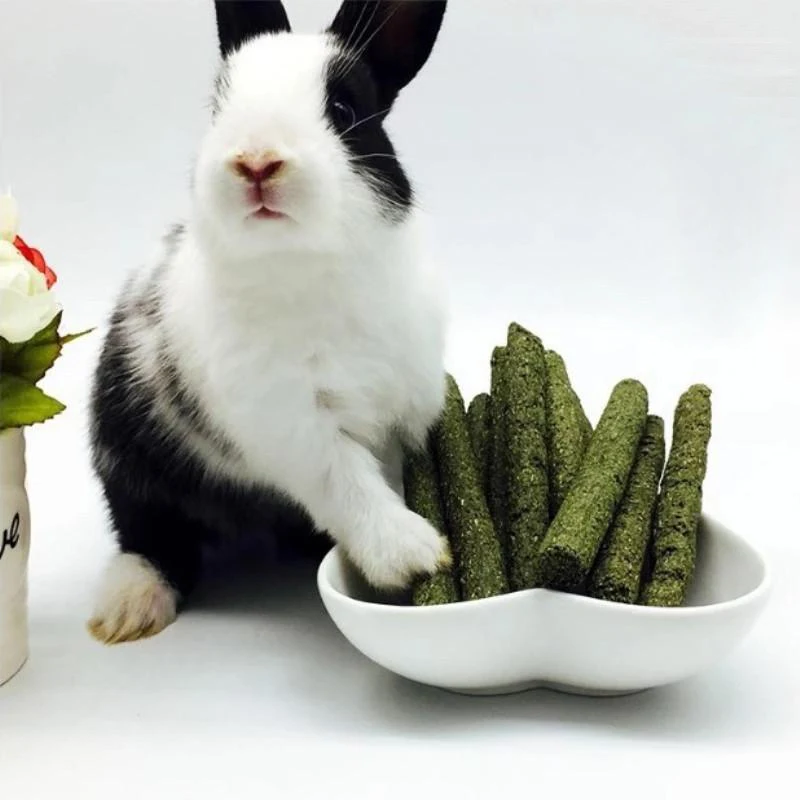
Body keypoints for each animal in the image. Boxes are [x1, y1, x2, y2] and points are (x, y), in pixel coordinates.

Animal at [87, 0, 451, 644]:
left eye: (343, 109)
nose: (256, 161)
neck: (311, 265)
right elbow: (346, 480)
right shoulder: (289, 420)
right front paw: (412, 555)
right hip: (126, 456)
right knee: (149, 535)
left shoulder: (410, 404)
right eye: (217, 107)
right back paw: (130, 606)